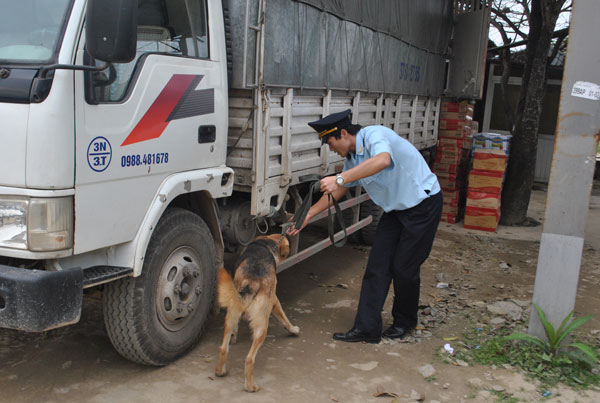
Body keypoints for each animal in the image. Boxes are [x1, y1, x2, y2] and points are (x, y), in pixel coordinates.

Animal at [216, 234, 300, 392]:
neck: (266, 243)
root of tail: (251, 283)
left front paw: (235, 336)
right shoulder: (274, 300)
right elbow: (284, 318)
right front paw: (293, 330)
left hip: (230, 316)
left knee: (224, 347)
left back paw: (220, 371)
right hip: (262, 327)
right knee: (249, 358)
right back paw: (250, 386)